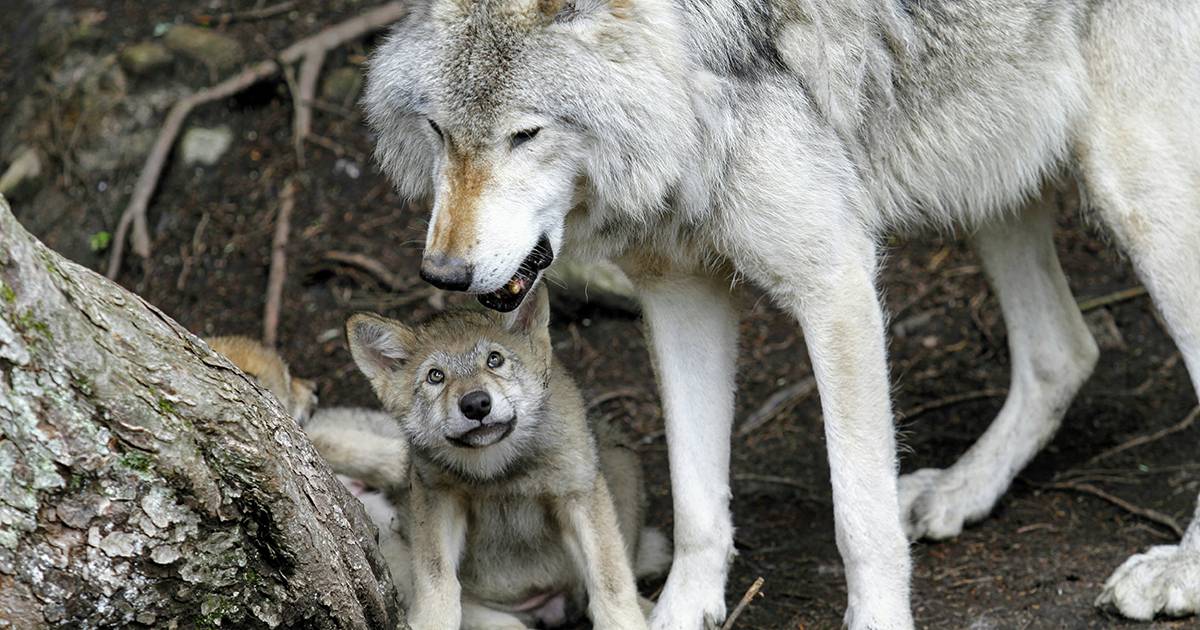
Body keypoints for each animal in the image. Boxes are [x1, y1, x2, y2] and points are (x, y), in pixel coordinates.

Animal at [343, 285, 672, 628]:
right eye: (435, 376)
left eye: (494, 359)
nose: (476, 404)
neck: (498, 470)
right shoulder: (437, 497)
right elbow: (436, 578)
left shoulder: (577, 493)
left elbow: (611, 580)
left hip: (620, 462)